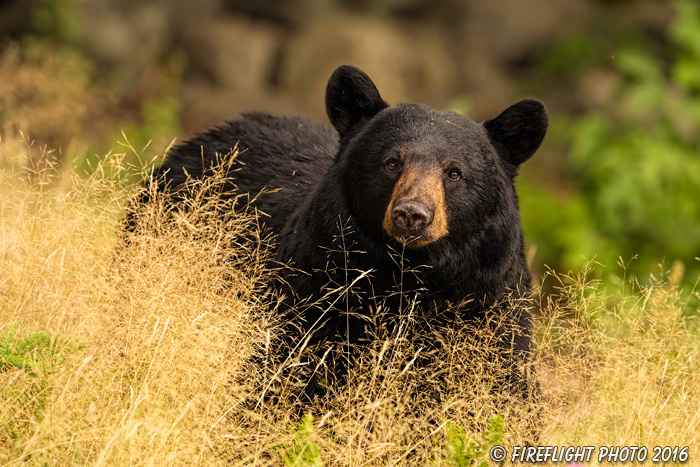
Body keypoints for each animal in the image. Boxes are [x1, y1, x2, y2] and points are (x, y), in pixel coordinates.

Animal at [130, 63, 548, 398]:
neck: (409, 275)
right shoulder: (316, 287)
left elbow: (500, 384)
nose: (412, 215)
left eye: (454, 172)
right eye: (392, 162)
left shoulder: (490, 304)